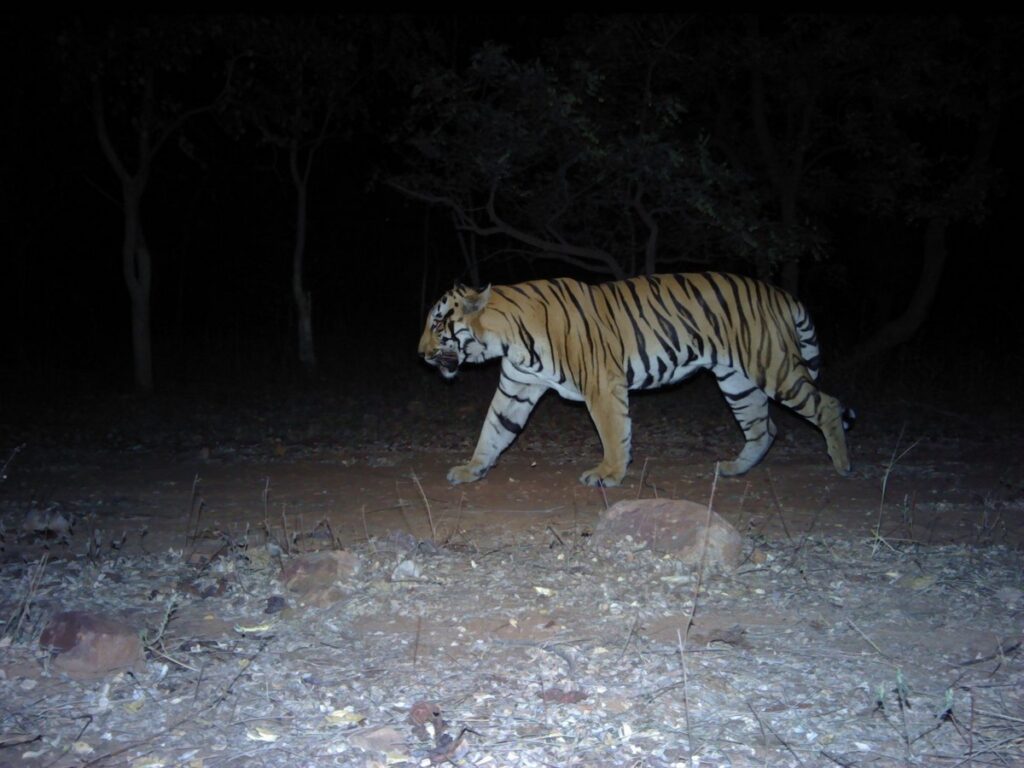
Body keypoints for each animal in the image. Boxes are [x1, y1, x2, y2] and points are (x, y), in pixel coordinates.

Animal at [413, 272, 847, 487]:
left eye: (437, 323)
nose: (419, 354)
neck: (506, 338)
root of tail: (781, 294)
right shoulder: (517, 388)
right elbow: (493, 429)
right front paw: (471, 469)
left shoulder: (602, 384)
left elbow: (613, 432)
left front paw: (608, 474)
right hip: (737, 381)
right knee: (764, 427)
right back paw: (733, 470)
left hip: (773, 367)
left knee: (828, 405)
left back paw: (842, 464)